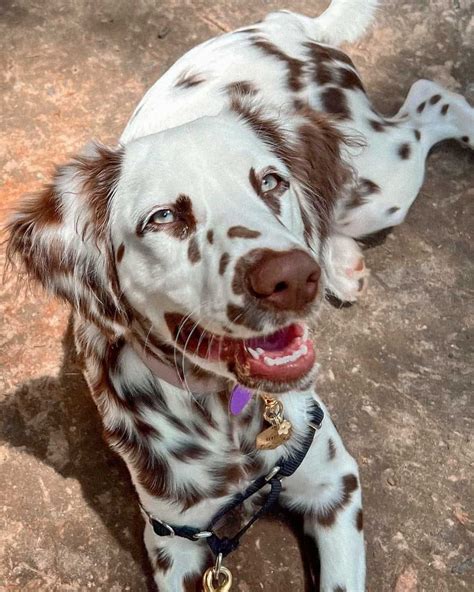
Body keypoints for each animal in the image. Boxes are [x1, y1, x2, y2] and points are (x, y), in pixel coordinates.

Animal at [5, 2, 472, 588]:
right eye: (164, 218)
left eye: (271, 182)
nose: (292, 278)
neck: (229, 422)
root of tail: (282, 24)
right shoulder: (173, 542)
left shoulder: (335, 483)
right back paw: (340, 263)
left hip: (385, 186)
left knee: (432, 101)